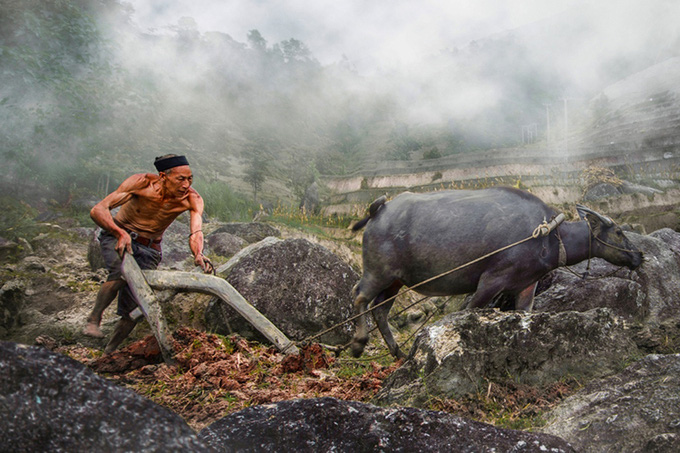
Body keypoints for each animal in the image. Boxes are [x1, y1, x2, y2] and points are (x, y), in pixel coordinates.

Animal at [350, 186, 644, 356]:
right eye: (619, 231)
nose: (639, 256)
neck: (548, 235)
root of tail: (378, 210)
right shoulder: (491, 280)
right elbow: (468, 312)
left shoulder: (526, 286)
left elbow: (524, 313)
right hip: (378, 272)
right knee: (359, 296)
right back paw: (358, 343)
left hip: (395, 282)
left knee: (380, 310)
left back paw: (398, 353)